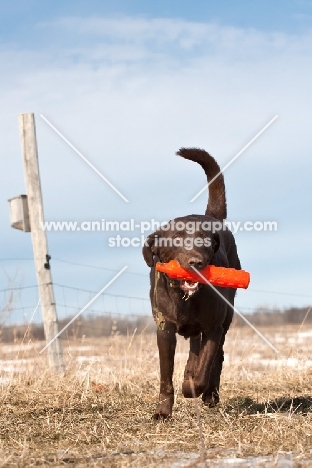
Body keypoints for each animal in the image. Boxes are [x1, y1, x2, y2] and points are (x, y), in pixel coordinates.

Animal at [143, 148, 240, 418]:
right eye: (176, 239)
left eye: (204, 240)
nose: (196, 261)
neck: (185, 299)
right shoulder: (165, 330)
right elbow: (166, 375)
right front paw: (163, 411)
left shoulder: (213, 328)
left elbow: (204, 368)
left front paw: (193, 387)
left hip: (226, 319)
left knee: (217, 358)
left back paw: (209, 395)